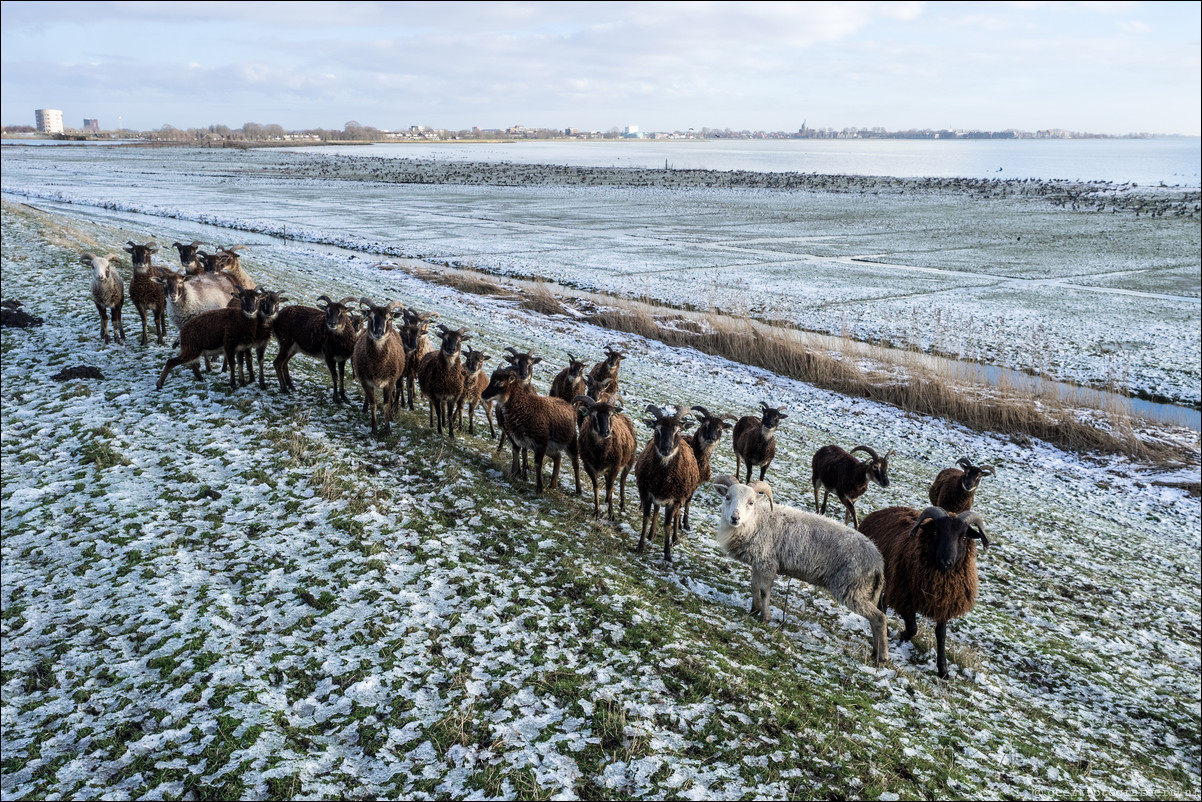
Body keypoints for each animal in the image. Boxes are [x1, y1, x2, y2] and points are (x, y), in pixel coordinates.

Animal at [706, 476, 889, 663]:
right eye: (727, 497)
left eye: (751, 502)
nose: (735, 518)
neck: (757, 521)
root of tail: (878, 562)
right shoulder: (758, 562)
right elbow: (754, 586)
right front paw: (754, 610)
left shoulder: (768, 563)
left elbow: (764, 591)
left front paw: (765, 618)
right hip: (861, 591)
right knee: (874, 619)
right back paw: (875, 652)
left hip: (851, 588)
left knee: (879, 618)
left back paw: (883, 657)